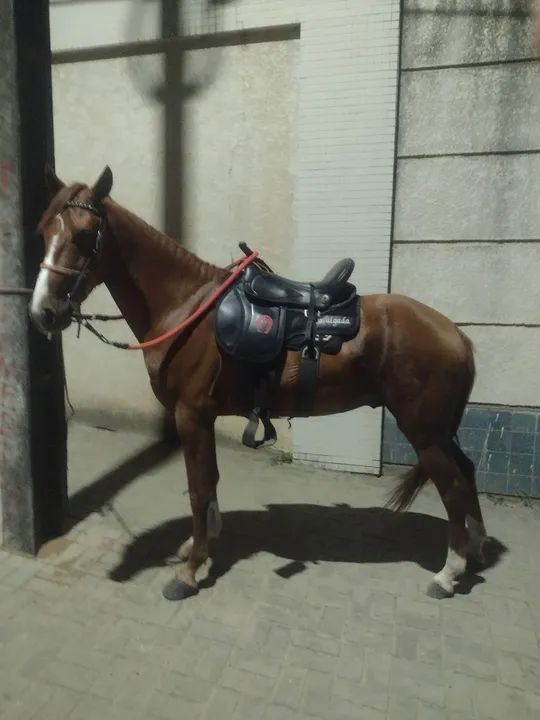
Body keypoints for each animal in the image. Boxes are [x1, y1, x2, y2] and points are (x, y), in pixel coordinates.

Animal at [30, 165, 490, 602]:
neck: (186, 308)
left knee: (452, 486)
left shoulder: (190, 414)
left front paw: (190, 571)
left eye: (85, 235)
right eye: (43, 232)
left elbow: (198, 489)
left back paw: (448, 573)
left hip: (424, 432)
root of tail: (456, 334)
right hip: (439, 431)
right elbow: (210, 482)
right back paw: (476, 549)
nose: (43, 313)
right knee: (467, 473)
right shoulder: (204, 417)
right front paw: (203, 545)